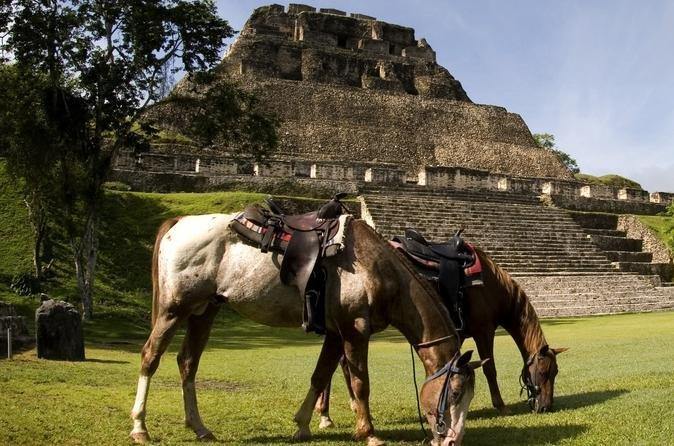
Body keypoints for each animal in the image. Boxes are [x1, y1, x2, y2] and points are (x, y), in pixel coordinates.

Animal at [127, 214, 484, 444]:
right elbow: (361, 383)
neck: (376, 268)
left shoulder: (336, 333)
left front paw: (302, 425)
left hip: (205, 310)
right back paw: (140, 428)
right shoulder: (355, 330)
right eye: (454, 392)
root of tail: (178, 223)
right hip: (174, 309)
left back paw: (199, 427)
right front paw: (368, 433)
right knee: (150, 357)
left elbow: (319, 375)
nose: (452, 440)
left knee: (187, 362)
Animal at [316, 247, 568, 426]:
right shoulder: (484, 331)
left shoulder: (459, 333)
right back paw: (327, 415)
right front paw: (501, 405)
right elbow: (489, 368)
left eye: (556, 373)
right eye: (544, 372)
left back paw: (332, 412)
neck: (492, 287)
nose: (546, 406)